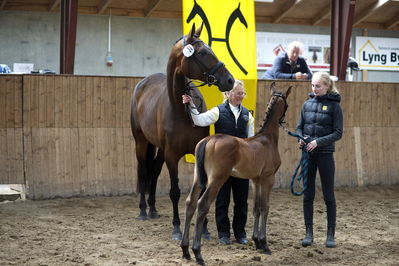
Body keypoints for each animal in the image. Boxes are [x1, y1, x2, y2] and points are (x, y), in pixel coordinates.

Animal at [131, 22, 234, 239]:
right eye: (202, 52)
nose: (229, 80)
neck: (181, 111)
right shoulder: (172, 155)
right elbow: (175, 191)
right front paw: (177, 228)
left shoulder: (197, 152)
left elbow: (202, 189)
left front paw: (204, 230)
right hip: (141, 142)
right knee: (144, 170)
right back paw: (143, 210)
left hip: (160, 149)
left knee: (154, 170)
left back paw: (153, 209)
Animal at [183, 82, 292, 264]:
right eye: (286, 105)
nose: (284, 119)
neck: (267, 139)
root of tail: (208, 140)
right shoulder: (268, 178)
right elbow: (265, 207)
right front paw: (264, 244)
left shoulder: (256, 180)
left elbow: (256, 207)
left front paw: (257, 242)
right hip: (216, 180)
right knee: (202, 204)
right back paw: (197, 253)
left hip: (198, 179)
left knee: (190, 202)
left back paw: (185, 250)